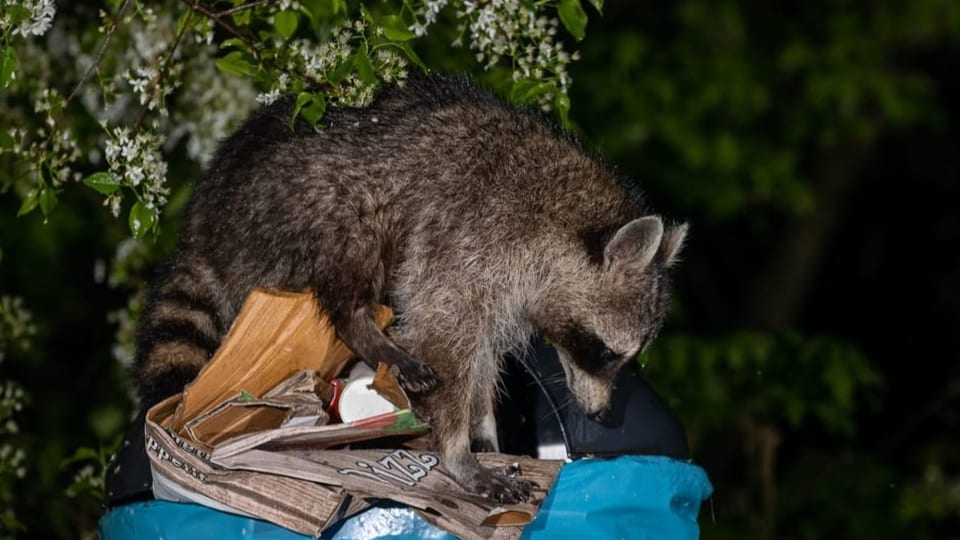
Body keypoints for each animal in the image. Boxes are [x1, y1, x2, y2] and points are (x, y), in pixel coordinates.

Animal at [137, 74, 688, 504]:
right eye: (607, 352)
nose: (601, 413)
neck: (562, 212)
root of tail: (202, 225)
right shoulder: (471, 239)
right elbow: (446, 332)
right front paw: (456, 452)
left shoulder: (501, 283)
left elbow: (483, 354)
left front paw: (484, 428)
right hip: (295, 205)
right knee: (352, 240)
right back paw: (364, 329)